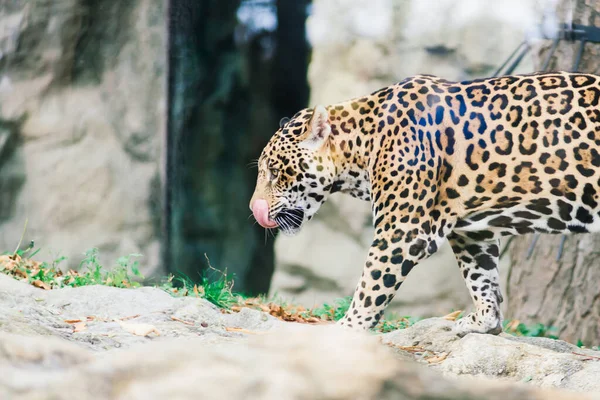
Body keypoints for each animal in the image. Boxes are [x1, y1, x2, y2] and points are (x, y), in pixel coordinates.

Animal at [250, 70, 600, 336]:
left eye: (275, 171)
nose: (255, 210)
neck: (362, 145)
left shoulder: (401, 233)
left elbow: (370, 286)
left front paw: (347, 328)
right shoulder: (472, 232)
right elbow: (481, 276)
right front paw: (484, 322)